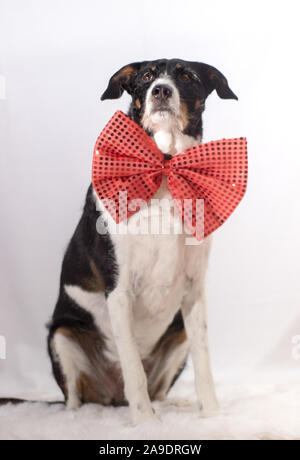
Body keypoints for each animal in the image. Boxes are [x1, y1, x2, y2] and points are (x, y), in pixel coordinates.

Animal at [47, 58, 238, 424]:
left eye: (186, 75)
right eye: (147, 75)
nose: (161, 90)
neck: (164, 169)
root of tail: (111, 399)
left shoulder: (194, 289)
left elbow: (204, 362)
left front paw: (212, 414)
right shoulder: (119, 289)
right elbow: (132, 365)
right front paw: (146, 423)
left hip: (177, 335)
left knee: (160, 390)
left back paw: (176, 405)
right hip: (62, 337)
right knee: (75, 397)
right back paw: (76, 417)